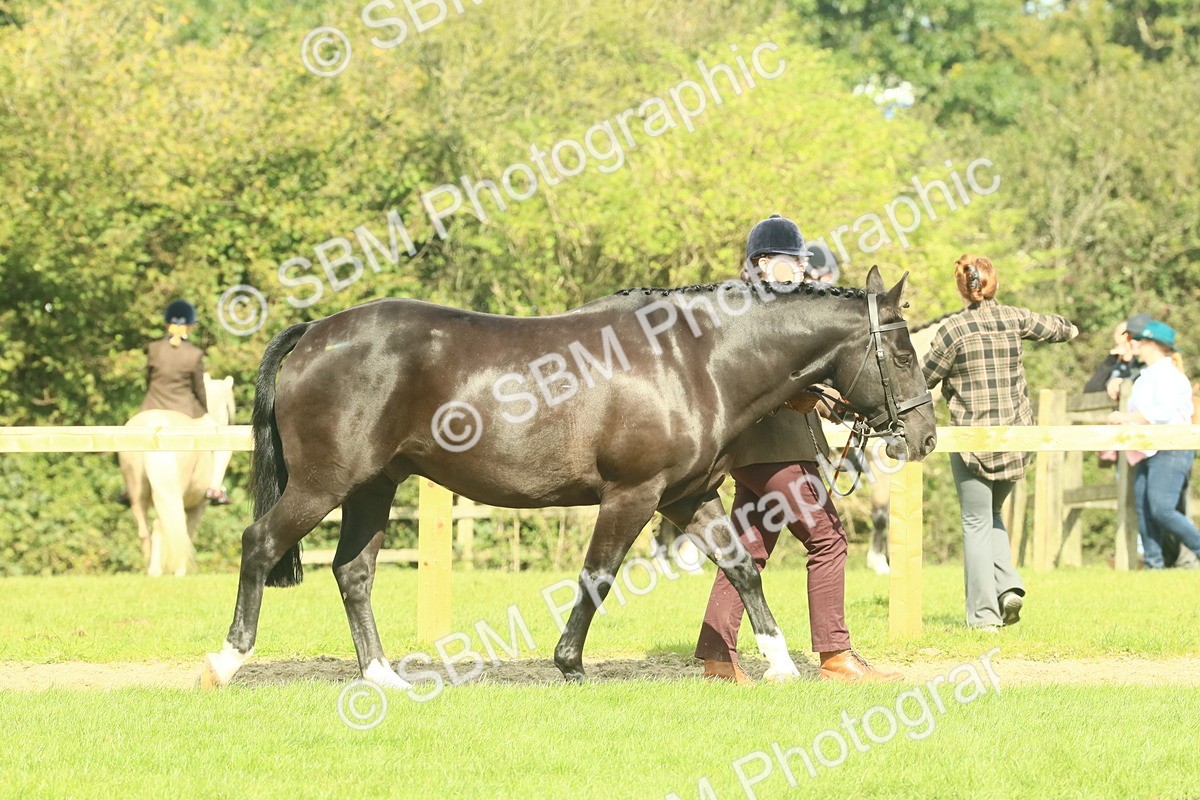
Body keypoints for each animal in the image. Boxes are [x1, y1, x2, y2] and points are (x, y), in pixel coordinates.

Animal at [119, 374, 236, 576]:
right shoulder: (199, 506)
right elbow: (186, 533)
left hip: (137, 492)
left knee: (144, 530)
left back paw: (150, 568)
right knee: (164, 526)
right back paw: (161, 570)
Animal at [199, 266, 936, 690]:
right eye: (902, 351)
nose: (924, 435)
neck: (694, 359)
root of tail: (316, 331)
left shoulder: (686, 497)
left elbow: (741, 569)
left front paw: (781, 664)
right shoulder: (633, 495)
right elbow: (598, 576)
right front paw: (570, 664)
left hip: (374, 486)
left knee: (354, 572)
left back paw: (381, 678)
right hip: (324, 483)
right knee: (260, 545)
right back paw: (225, 662)